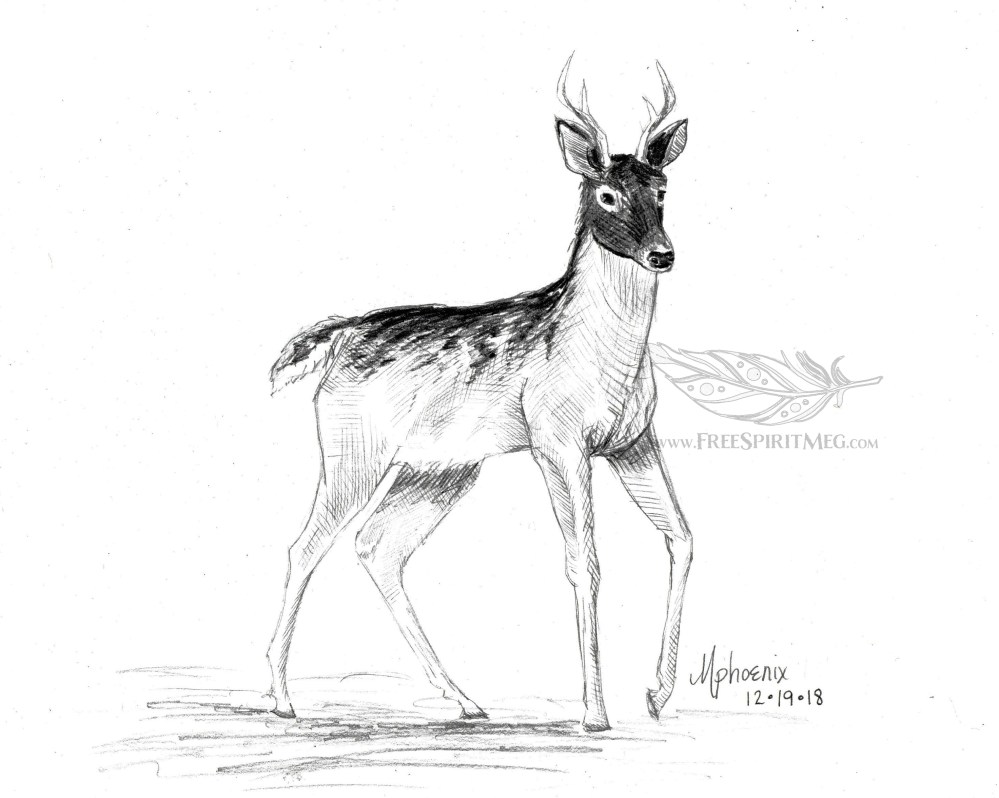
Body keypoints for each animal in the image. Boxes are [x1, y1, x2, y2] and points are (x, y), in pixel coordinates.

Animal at [265, 57, 693, 732]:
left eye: (663, 188)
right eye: (606, 193)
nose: (662, 253)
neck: (601, 357)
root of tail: (339, 335)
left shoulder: (632, 441)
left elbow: (682, 536)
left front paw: (657, 693)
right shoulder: (558, 442)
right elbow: (585, 562)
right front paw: (596, 712)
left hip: (438, 470)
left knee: (377, 547)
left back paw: (466, 700)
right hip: (352, 451)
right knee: (306, 546)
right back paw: (282, 698)